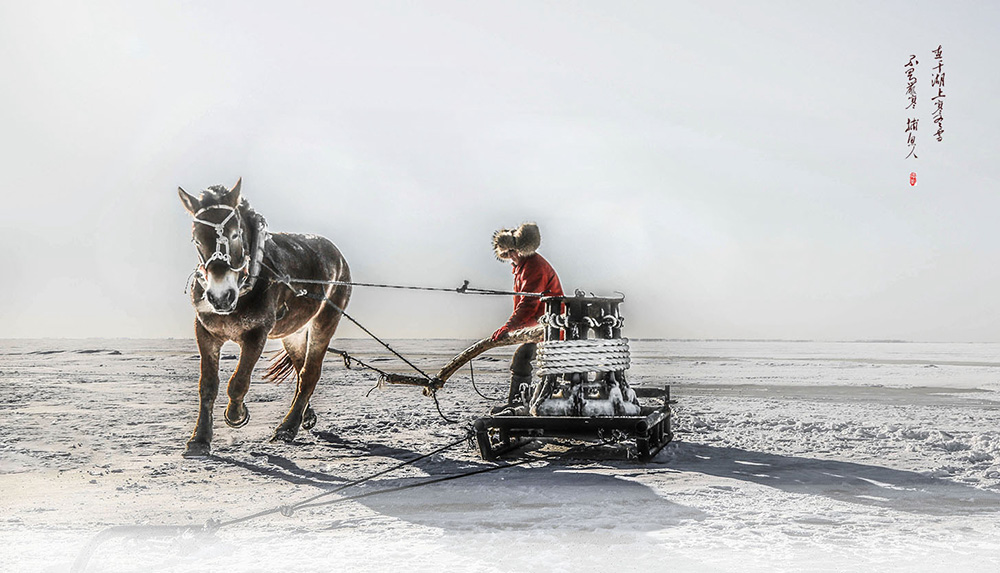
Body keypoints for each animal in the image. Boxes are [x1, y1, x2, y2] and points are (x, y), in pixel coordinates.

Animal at [176, 179, 352, 456]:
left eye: (235, 235)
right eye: (196, 239)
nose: (220, 296)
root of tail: (337, 255)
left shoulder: (257, 332)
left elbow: (238, 381)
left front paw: (236, 415)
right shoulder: (205, 332)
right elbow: (208, 384)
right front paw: (200, 439)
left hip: (325, 320)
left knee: (309, 373)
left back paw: (287, 428)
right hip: (293, 333)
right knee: (300, 370)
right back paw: (305, 416)